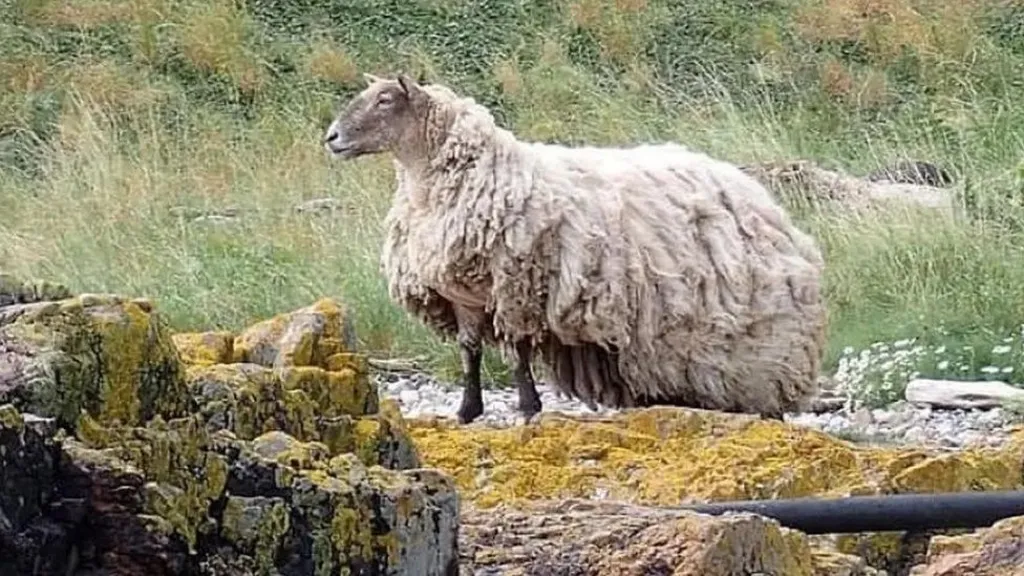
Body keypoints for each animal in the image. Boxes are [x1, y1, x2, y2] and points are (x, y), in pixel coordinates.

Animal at [322, 72, 829, 425]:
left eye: (385, 100)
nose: (331, 137)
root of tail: (766, 203)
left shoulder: (515, 286)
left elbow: (517, 353)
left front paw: (529, 408)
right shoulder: (462, 294)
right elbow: (469, 353)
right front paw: (467, 411)